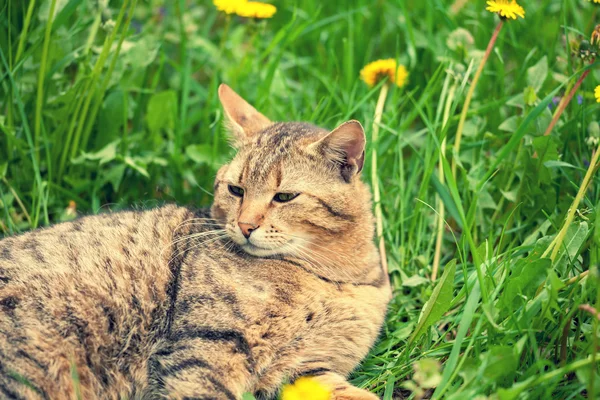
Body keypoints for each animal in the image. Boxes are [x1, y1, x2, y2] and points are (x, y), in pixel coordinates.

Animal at [0, 85, 392, 400]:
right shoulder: (207, 345)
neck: (333, 277)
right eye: (236, 190)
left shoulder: (304, 371)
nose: (245, 225)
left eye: (284, 197)